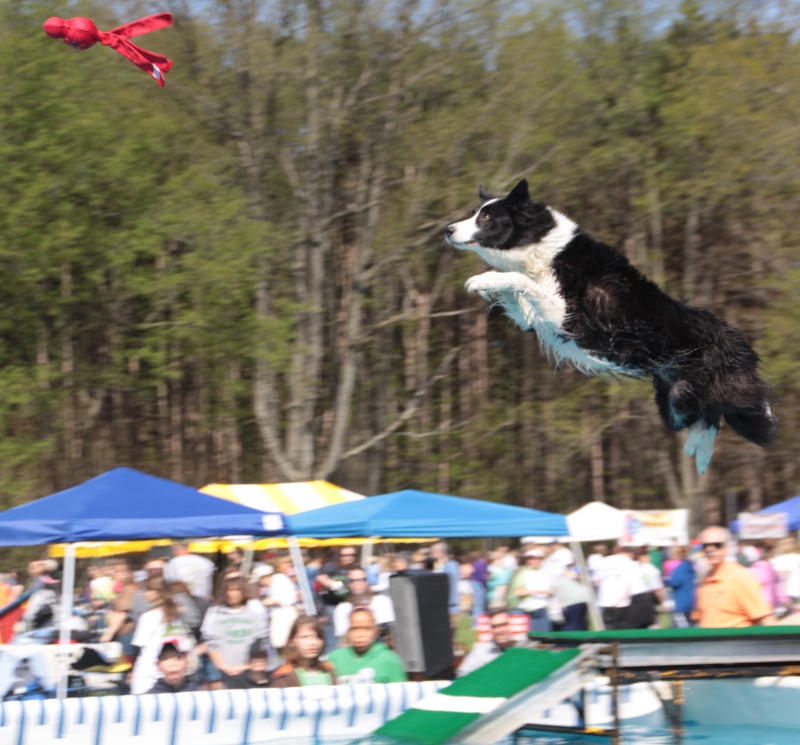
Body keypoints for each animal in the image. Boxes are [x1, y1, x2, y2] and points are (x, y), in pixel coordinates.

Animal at [444, 178, 776, 474]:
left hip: (702, 390)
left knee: (741, 409)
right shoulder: (537, 319)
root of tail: (739, 340)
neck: (540, 245)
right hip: (672, 401)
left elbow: (519, 280)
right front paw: (488, 288)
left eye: (486, 217)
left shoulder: (568, 317)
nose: (447, 230)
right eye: (475, 211)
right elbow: (518, 296)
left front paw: (484, 279)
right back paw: (701, 452)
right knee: (707, 416)